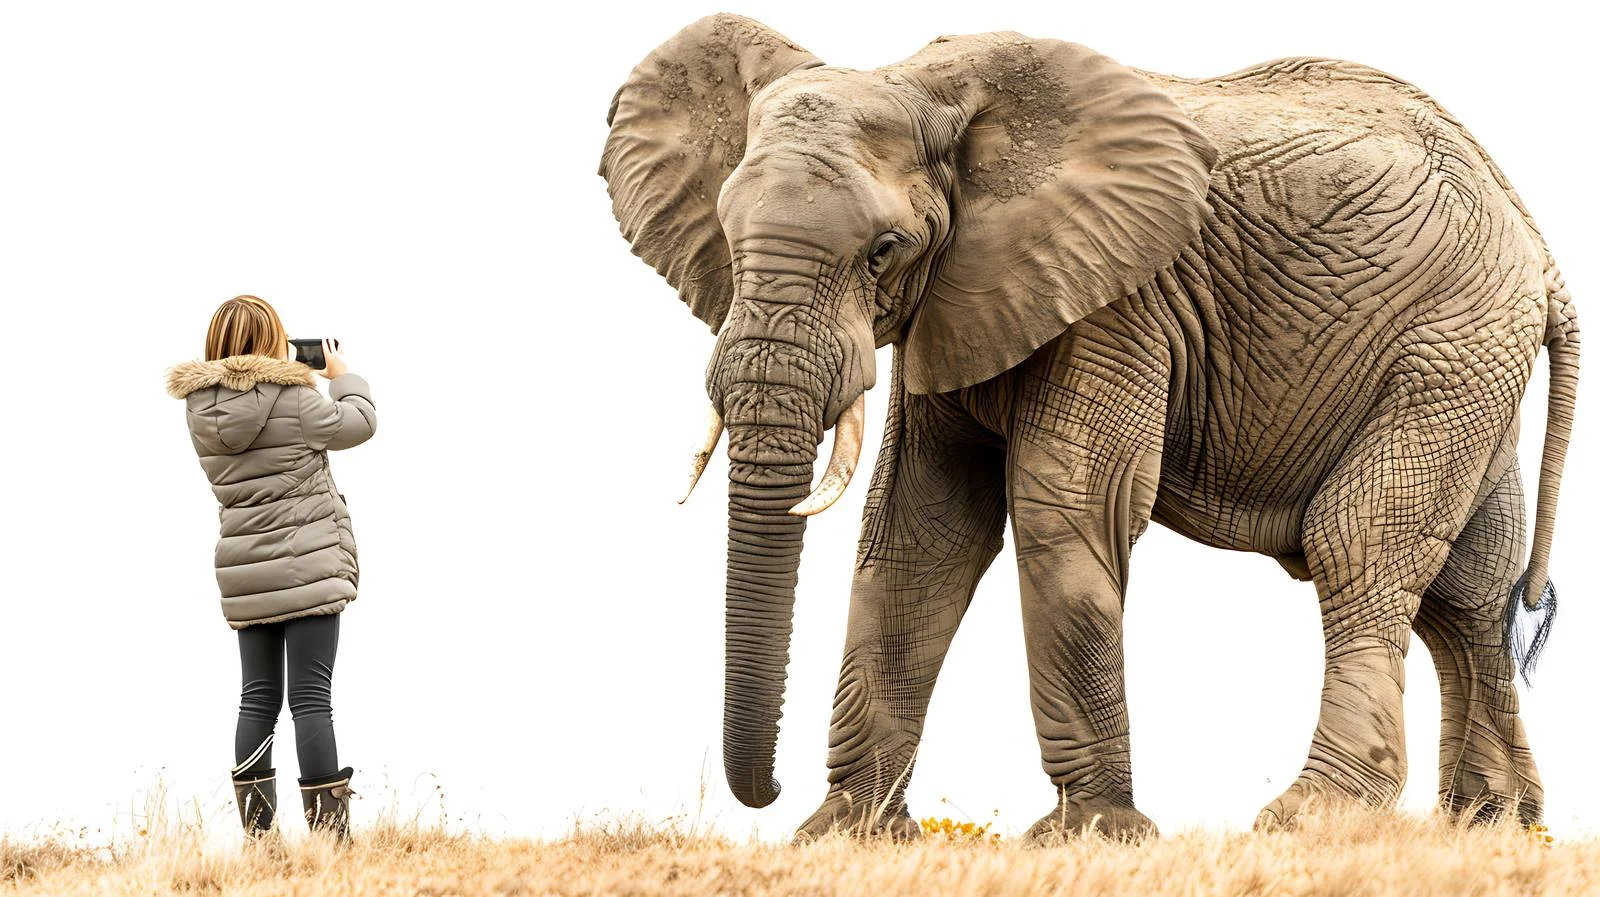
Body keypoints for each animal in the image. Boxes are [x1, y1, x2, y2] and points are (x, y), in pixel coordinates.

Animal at [598, 15, 1579, 839]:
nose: (761, 791)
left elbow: (1062, 511)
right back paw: (1494, 826)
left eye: (883, 250)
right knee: (1469, 590)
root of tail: (1538, 248)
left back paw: (1313, 818)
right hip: (1468, 360)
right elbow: (919, 530)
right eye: (727, 237)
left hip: (1451, 341)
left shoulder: (1119, 300)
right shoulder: (959, 301)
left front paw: (1096, 835)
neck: (928, 88)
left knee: (1361, 545)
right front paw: (846, 835)